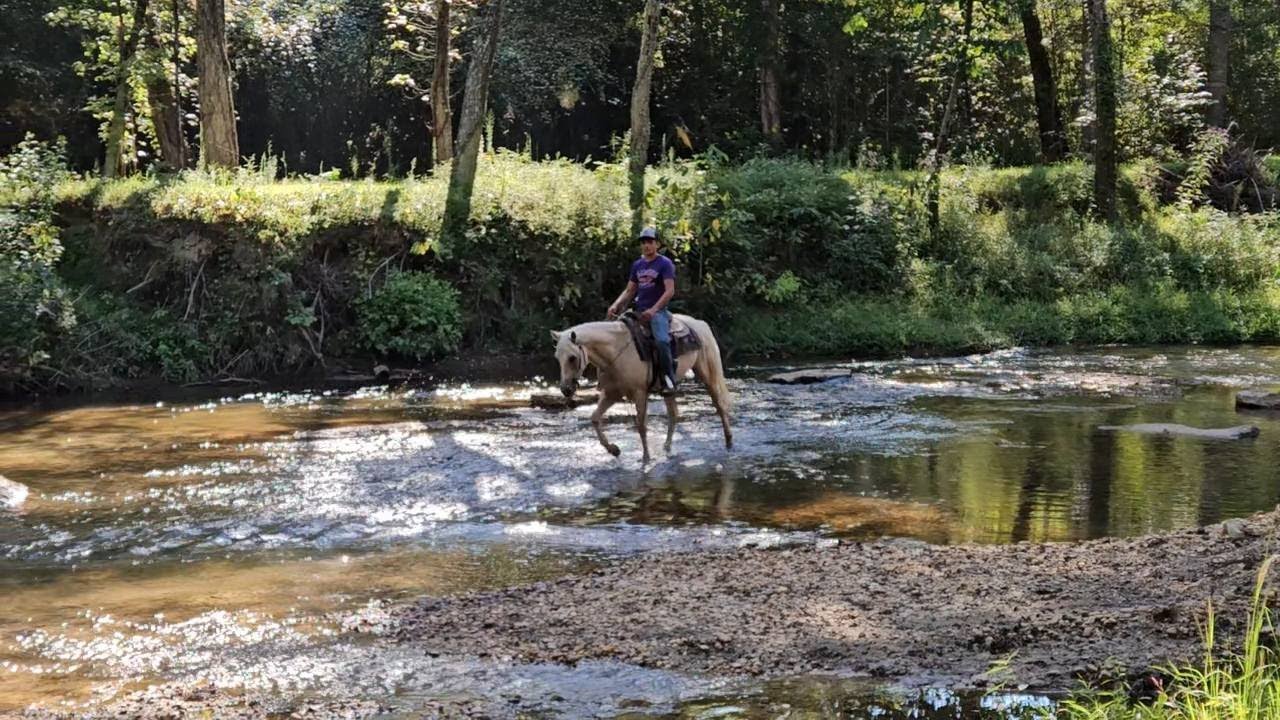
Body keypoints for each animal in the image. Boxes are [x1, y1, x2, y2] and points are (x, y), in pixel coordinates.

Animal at [551, 313, 733, 464]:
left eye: (572, 358)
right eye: (557, 357)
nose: (565, 389)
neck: (616, 352)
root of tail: (699, 323)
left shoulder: (639, 393)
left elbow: (641, 426)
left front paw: (646, 458)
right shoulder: (611, 394)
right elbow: (595, 418)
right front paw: (614, 450)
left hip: (707, 373)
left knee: (719, 405)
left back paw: (729, 441)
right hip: (668, 389)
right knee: (673, 414)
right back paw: (667, 447)